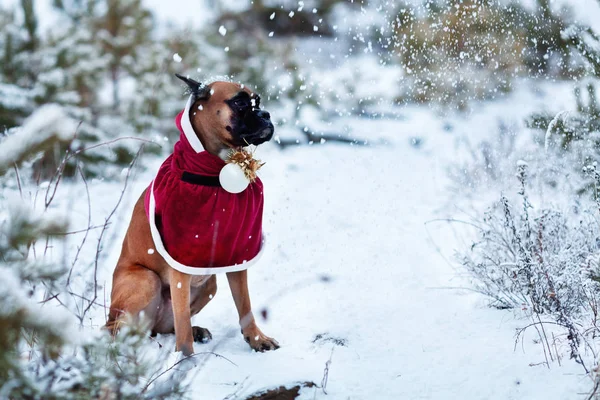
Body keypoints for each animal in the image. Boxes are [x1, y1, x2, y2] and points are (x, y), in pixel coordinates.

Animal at [105, 73, 278, 354]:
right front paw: (186, 358)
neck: (215, 176)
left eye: (258, 101)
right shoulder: (180, 268)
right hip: (146, 280)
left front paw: (256, 338)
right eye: (240, 103)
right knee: (116, 328)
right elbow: (183, 324)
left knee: (167, 326)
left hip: (209, 285)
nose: (266, 114)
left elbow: (245, 305)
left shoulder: (238, 256)